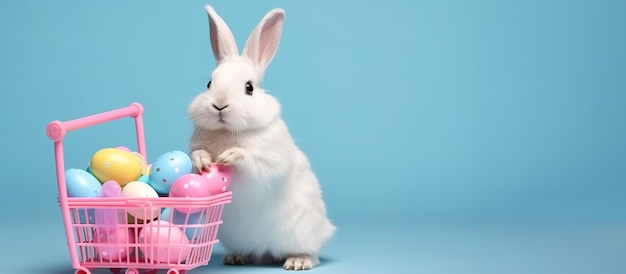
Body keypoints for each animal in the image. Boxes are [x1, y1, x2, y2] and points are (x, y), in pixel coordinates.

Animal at [188, 5, 334, 270]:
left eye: (249, 87)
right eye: (209, 83)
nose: (220, 104)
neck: (228, 131)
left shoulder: (270, 159)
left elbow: (254, 162)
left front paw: (231, 155)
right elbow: (195, 157)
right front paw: (202, 160)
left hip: (303, 233)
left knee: (313, 254)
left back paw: (298, 261)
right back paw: (236, 257)